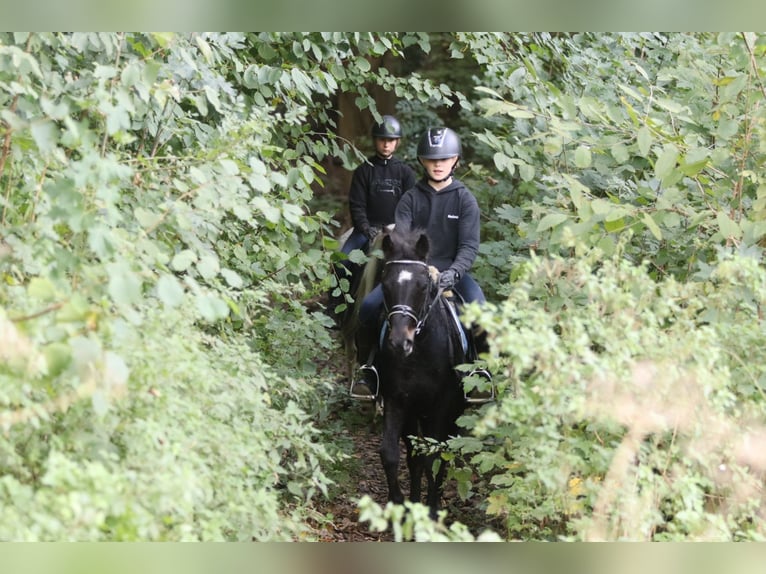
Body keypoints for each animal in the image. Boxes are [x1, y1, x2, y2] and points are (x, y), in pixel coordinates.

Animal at [374, 230, 468, 520]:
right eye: (385, 284)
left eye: (423, 286)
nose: (399, 342)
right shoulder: (397, 399)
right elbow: (392, 453)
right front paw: (401, 505)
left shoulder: (443, 406)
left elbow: (434, 458)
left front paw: (433, 510)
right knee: (414, 454)